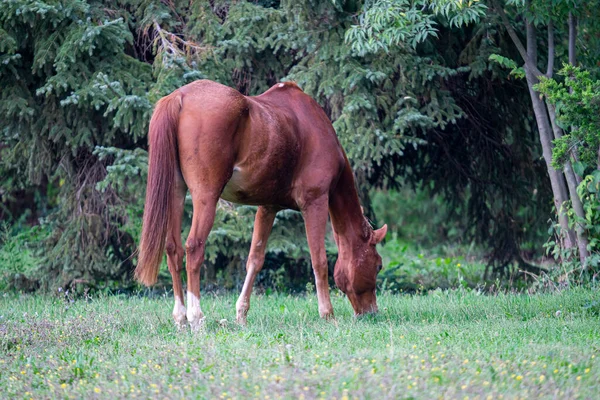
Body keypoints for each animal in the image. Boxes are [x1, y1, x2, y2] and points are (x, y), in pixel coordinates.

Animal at [135, 79, 386, 330]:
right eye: (378, 265)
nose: (371, 312)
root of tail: (180, 96)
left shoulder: (268, 207)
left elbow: (255, 259)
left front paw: (241, 314)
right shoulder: (315, 202)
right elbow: (319, 261)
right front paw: (327, 314)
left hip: (176, 192)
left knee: (173, 249)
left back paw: (180, 318)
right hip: (206, 196)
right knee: (194, 248)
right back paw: (195, 317)